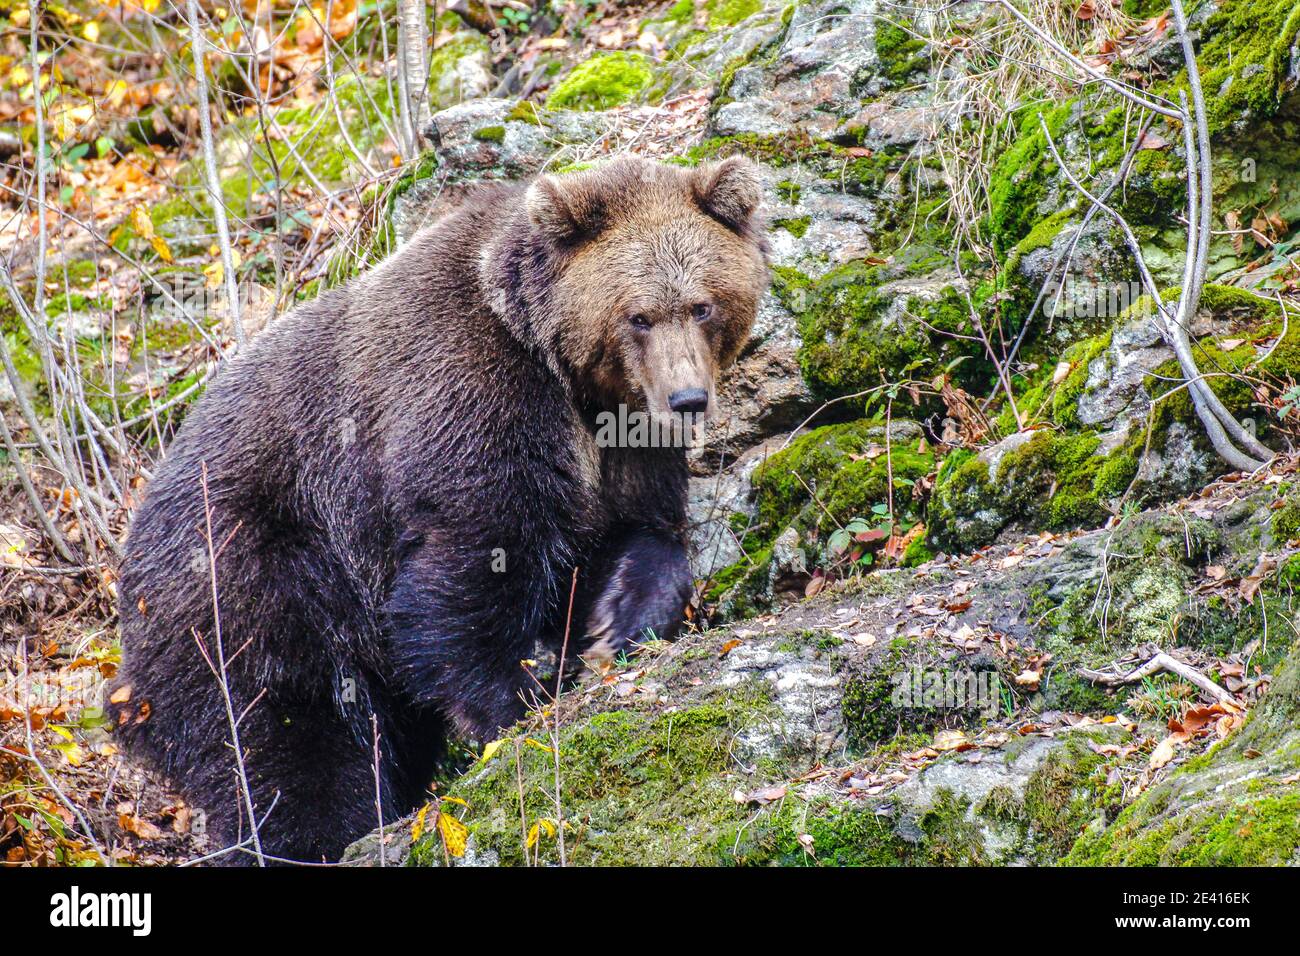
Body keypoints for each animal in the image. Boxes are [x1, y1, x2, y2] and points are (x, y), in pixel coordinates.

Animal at [106, 155, 769, 864]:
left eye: (702, 305)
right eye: (639, 316)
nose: (688, 399)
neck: (558, 367)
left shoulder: (621, 445)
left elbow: (641, 532)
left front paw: (615, 622)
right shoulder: (467, 395)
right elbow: (471, 565)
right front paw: (514, 698)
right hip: (252, 577)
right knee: (281, 735)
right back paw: (315, 835)